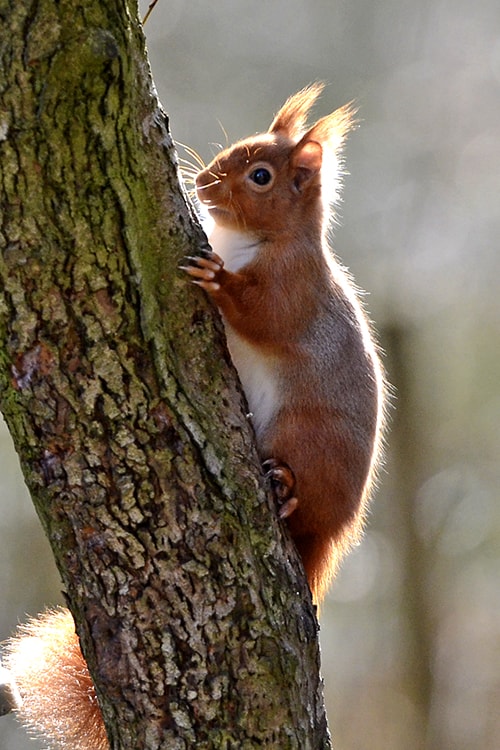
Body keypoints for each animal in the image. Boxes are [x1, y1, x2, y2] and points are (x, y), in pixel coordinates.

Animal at [2, 84, 385, 749]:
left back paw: (285, 488)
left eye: (260, 176)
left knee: (301, 498)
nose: (203, 182)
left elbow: (264, 314)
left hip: (304, 435)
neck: (254, 241)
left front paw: (216, 280)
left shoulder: (295, 287)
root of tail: (330, 534)